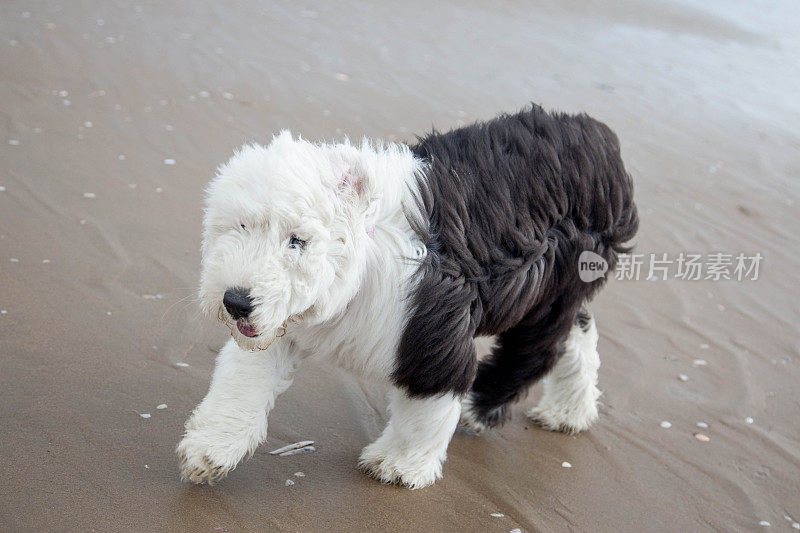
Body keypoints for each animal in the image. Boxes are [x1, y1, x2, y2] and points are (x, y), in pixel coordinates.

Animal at [177, 103, 636, 486]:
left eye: (297, 241)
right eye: (240, 226)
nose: (235, 301)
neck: (366, 249)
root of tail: (601, 142)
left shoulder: (434, 334)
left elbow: (428, 406)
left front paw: (399, 465)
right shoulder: (282, 324)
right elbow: (244, 379)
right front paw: (210, 448)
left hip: (553, 282)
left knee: (539, 349)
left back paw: (481, 406)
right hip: (555, 292)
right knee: (577, 330)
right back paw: (570, 411)